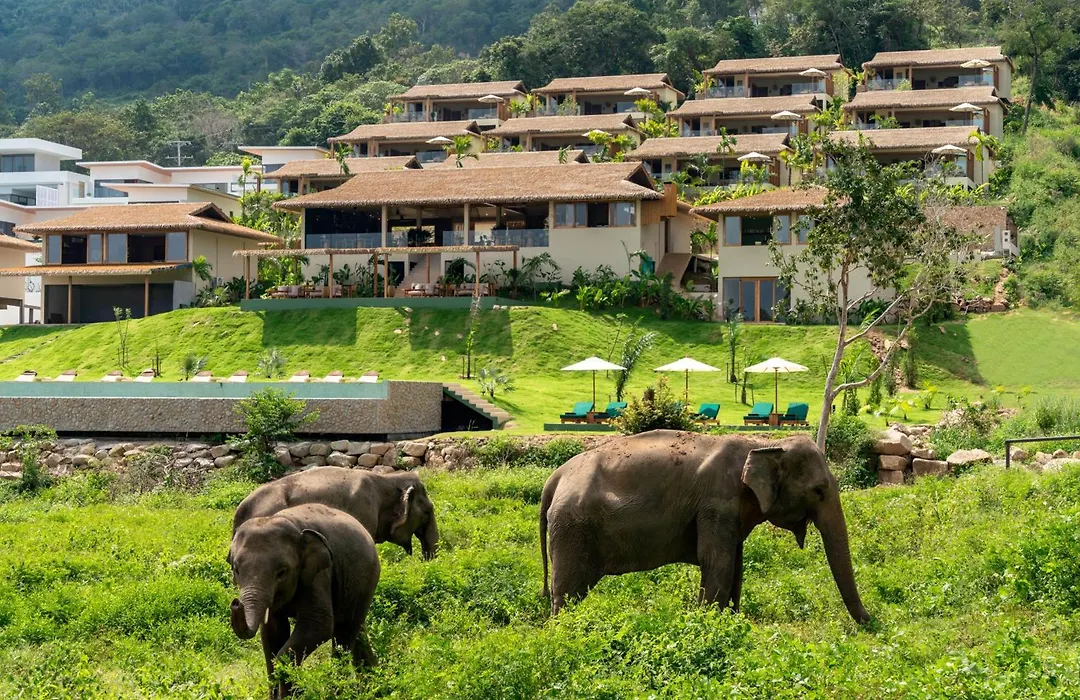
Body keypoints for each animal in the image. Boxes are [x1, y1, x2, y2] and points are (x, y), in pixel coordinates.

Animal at [228, 503, 379, 699]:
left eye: (282, 572)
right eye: (236, 569)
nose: (235, 603)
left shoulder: (319, 574)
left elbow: (319, 626)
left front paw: (291, 692)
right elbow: (272, 633)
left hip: (365, 579)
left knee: (343, 636)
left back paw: (341, 691)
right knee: (357, 631)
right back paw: (374, 684)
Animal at [539, 430, 870, 624]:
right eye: (818, 490)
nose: (870, 623)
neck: (762, 445)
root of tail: (555, 477)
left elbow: (736, 565)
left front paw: (733, 621)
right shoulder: (717, 503)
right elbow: (716, 563)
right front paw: (711, 623)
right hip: (573, 528)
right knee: (568, 592)